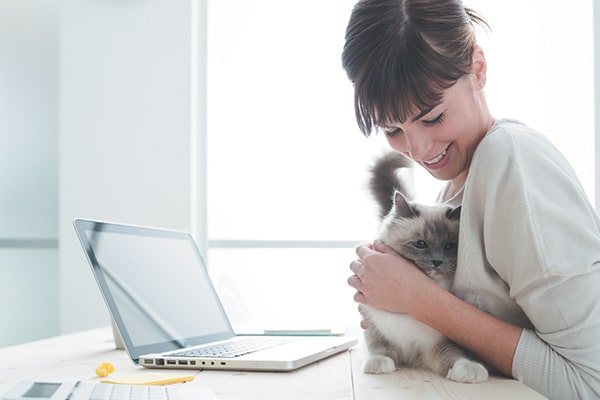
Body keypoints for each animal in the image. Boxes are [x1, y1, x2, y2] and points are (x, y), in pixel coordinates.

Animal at [360, 151, 488, 384]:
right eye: (420, 244)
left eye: (449, 247)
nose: (437, 262)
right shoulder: (376, 326)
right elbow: (380, 349)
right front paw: (378, 366)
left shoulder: (436, 344)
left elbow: (455, 356)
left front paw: (470, 372)